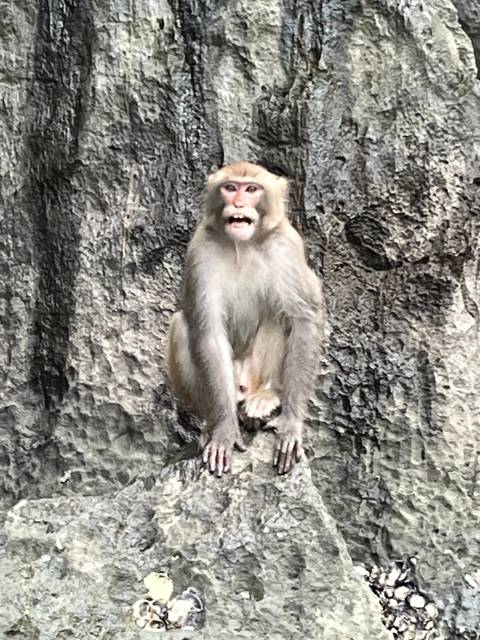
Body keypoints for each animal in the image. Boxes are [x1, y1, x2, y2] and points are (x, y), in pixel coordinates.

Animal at [166, 161, 323, 477]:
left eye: (251, 189)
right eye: (230, 187)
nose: (238, 203)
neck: (243, 245)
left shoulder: (286, 245)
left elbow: (303, 319)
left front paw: (291, 424)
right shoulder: (200, 249)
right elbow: (208, 332)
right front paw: (224, 431)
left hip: (256, 374)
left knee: (280, 316)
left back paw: (264, 399)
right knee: (181, 325)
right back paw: (213, 425)